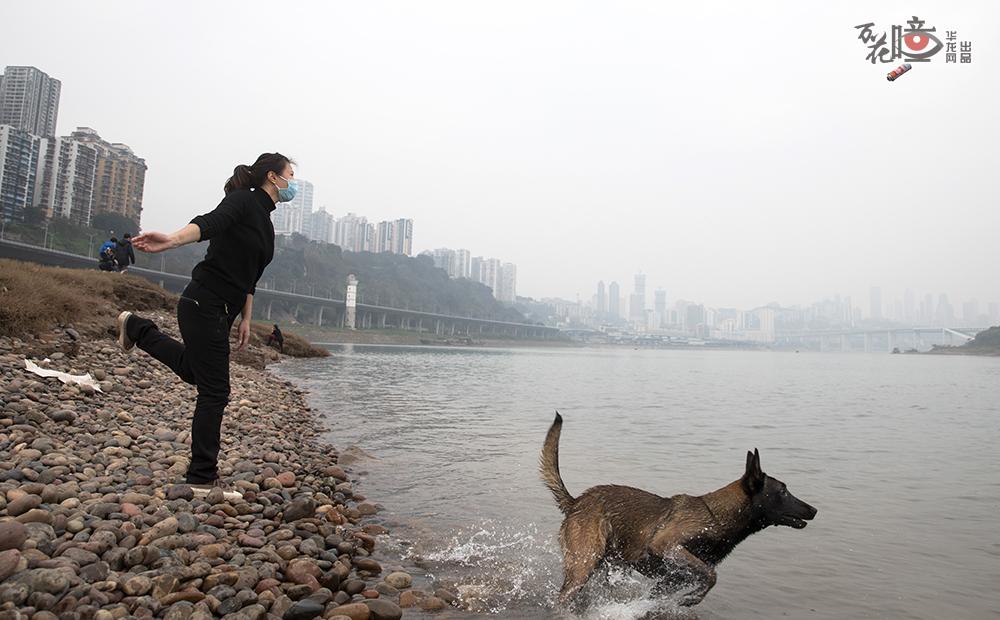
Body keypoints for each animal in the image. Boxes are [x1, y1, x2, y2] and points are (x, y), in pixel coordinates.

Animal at [544, 412, 816, 604]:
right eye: (783, 491)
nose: (814, 510)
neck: (716, 515)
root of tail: (576, 502)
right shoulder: (666, 544)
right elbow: (711, 576)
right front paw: (692, 599)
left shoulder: (668, 581)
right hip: (583, 566)